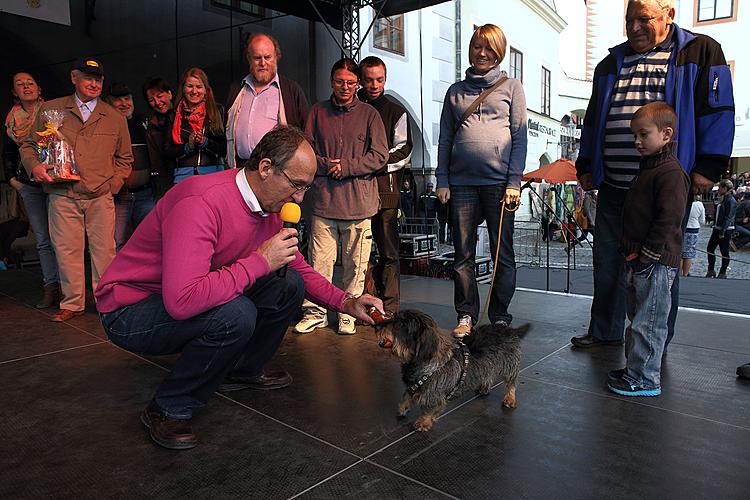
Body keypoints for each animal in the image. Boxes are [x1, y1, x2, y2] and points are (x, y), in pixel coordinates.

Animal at [378, 308, 532, 430]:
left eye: (401, 324)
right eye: (394, 317)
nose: (377, 326)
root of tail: (509, 330)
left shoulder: (436, 396)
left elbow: (429, 408)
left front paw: (423, 421)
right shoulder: (412, 385)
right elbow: (406, 396)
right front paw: (403, 407)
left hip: (510, 364)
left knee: (511, 382)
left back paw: (510, 398)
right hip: (489, 363)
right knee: (488, 374)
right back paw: (485, 387)